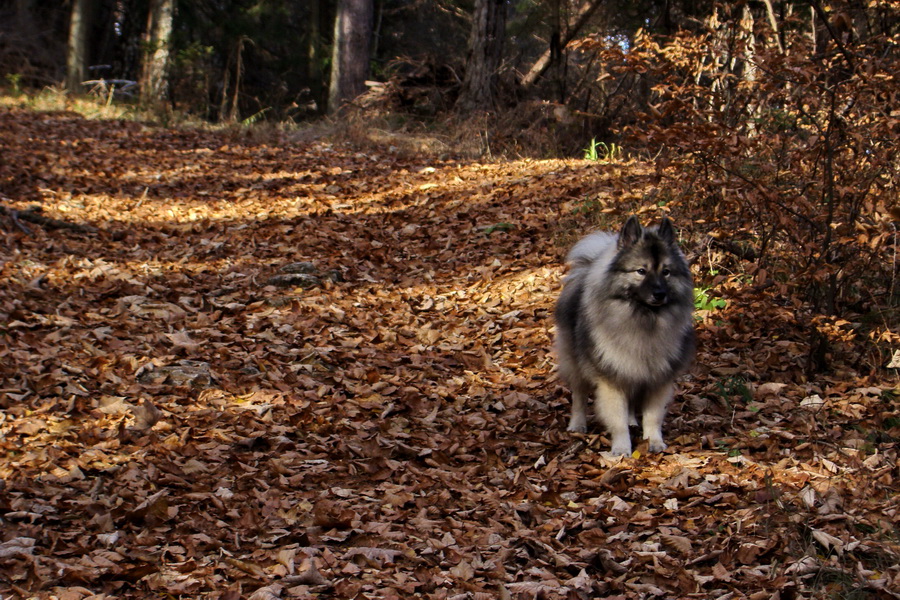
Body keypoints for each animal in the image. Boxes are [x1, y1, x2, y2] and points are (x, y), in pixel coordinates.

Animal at [556, 216, 696, 454]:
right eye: (641, 271)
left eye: (666, 272)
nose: (660, 294)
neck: (644, 319)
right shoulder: (612, 379)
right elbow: (617, 419)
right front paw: (621, 448)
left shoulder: (657, 380)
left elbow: (653, 416)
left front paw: (654, 441)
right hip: (576, 362)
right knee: (579, 395)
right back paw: (577, 424)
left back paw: (632, 421)